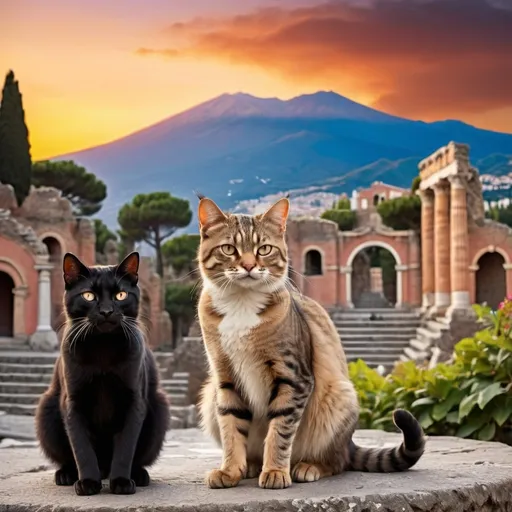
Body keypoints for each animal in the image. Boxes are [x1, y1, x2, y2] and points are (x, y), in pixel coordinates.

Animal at [37, 252, 172, 496]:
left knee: (137, 458)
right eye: (89, 296)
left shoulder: (133, 402)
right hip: (47, 409)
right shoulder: (73, 402)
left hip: (159, 409)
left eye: (121, 295)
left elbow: (126, 447)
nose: (107, 311)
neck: (103, 348)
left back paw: (138, 475)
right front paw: (88, 483)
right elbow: (81, 448)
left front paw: (121, 482)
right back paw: (67, 475)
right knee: (68, 458)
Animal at [196, 198, 424, 490]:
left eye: (264, 249)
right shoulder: (225, 377)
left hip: (339, 397)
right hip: (209, 394)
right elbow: (231, 428)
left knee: (338, 461)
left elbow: (280, 431)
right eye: (228, 249)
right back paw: (252, 465)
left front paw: (275, 470)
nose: (248, 266)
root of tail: (349, 443)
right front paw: (231, 469)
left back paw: (309, 466)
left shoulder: (294, 377)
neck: (241, 303)